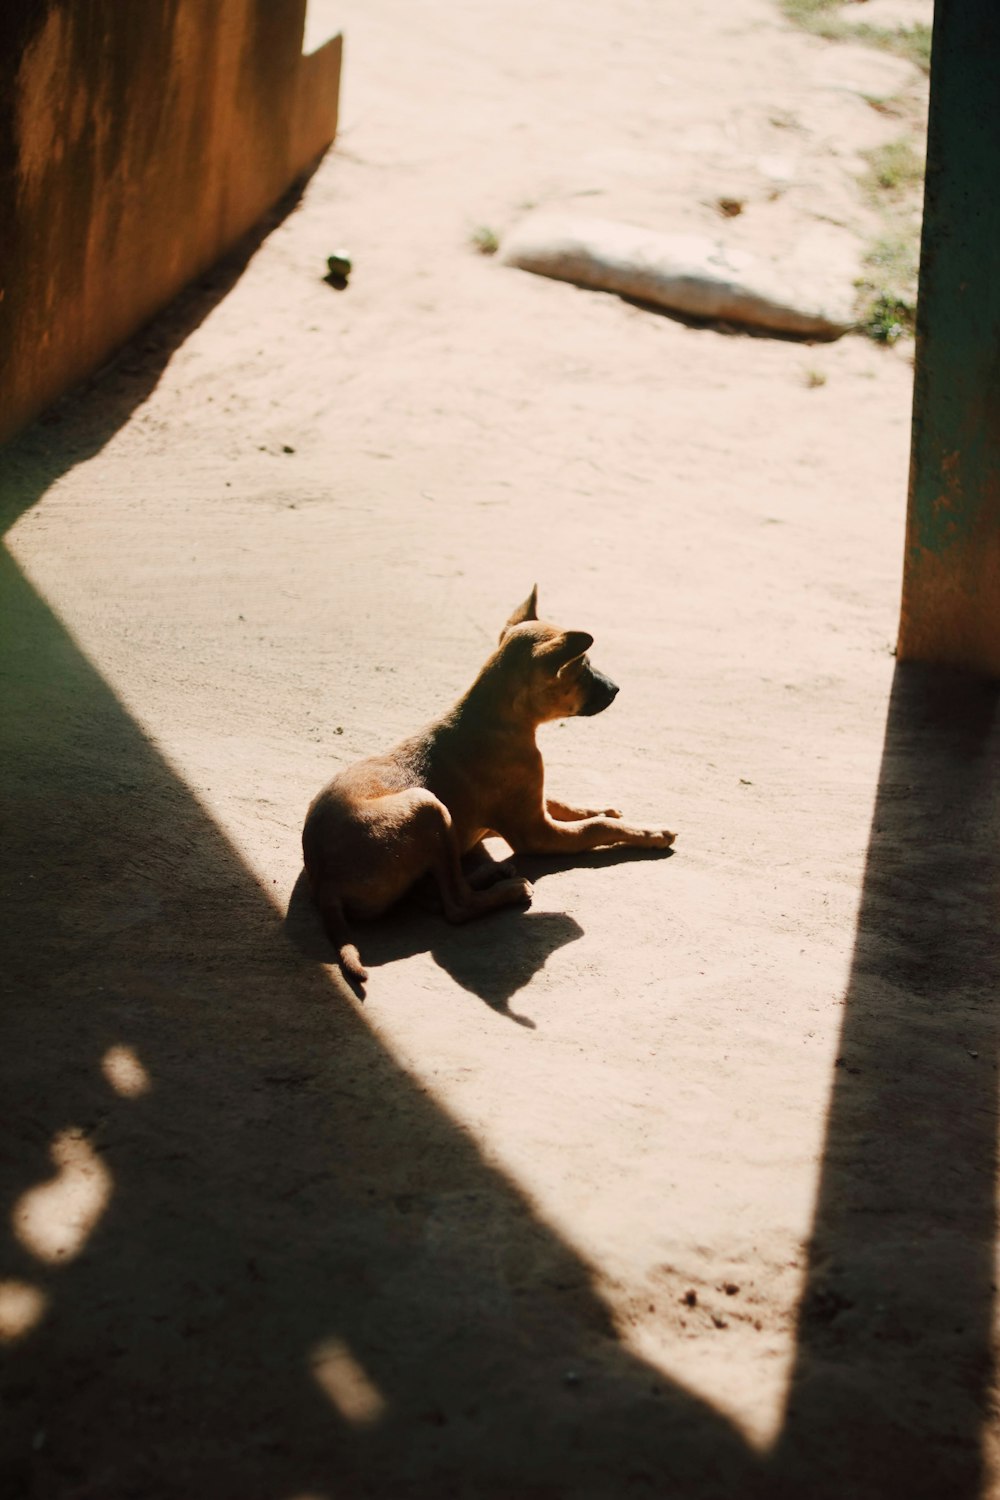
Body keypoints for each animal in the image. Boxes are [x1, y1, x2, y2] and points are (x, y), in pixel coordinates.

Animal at [301, 591, 677, 990]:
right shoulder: (536, 833)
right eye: (583, 667)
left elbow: (569, 804)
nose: (617, 688)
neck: (498, 719)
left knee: (434, 890)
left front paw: (604, 807)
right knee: (455, 906)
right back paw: (508, 890)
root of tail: (324, 886)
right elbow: (597, 828)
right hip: (428, 807)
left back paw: (490, 874)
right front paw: (651, 833)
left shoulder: (532, 804)